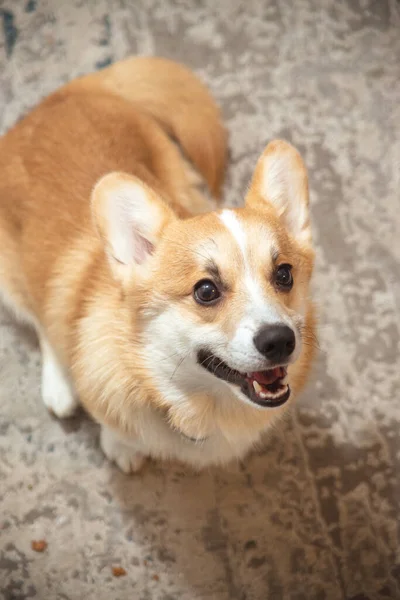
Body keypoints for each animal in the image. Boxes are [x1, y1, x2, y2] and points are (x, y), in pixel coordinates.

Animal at [0, 56, 316, 472]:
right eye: (205, 291)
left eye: (284, 275)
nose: (279, 340)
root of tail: (63, 95)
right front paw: (121, 447)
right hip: (9, 278)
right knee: (39, 317)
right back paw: (59, 385)